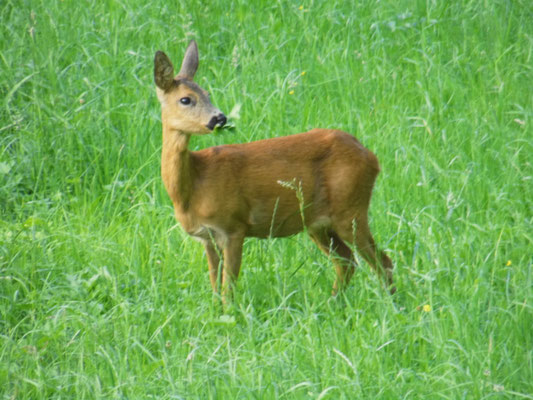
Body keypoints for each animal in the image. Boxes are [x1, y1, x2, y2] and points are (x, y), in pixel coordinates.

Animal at [152, 39, 392, 306]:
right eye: (186, 99)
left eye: (207, 93)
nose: (219, 118)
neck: (193, 185)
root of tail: (372, 158)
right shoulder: (208, 237)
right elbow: (215, 288)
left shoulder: (234, 226)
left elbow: (228, 290)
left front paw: (230, 314)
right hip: (318, 223)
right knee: (347, 261)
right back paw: (333, 304)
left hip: (350, 209)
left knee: (382, 261)